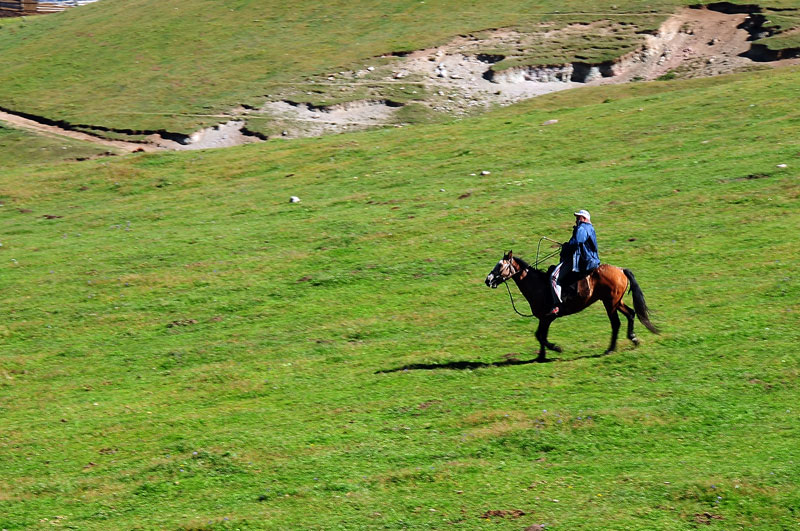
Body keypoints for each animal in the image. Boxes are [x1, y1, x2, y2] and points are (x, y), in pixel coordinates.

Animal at [484, 250, 660, 362]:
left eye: (500, 266)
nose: (488, 280)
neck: (538, 285)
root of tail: (620, 270)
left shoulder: (547, 317)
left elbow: (541, 336)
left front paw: (556, 348)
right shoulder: (543, 319)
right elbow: (540, 335)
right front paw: (541, 356)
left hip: (610, 303)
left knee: (616, 323)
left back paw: (610, 349)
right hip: (616, 301)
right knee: (631, 313)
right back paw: (633, 338)